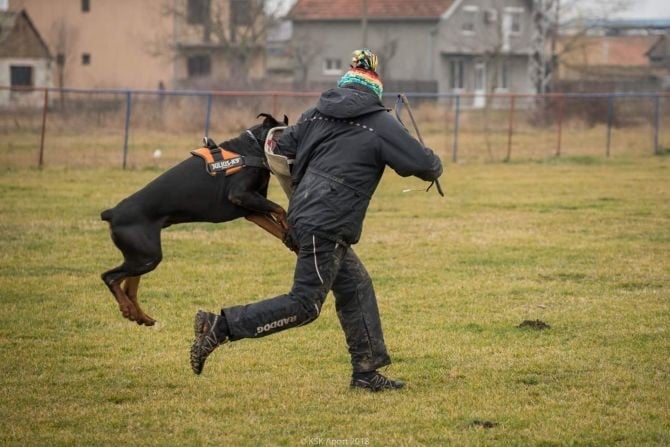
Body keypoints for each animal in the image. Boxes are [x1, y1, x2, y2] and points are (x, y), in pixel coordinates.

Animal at [101, 113, 292, 326]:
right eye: (282, 136)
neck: (252, 148)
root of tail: (112, 213)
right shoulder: (241, 195)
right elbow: (280, 209)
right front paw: (288, 230)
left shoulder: (252, 210)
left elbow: (276, 222)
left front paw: (290, 238)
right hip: (147, 256)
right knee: (110, 277)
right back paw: (128, 309)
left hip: (142, 256)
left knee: (129, 287)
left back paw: (140, 316)